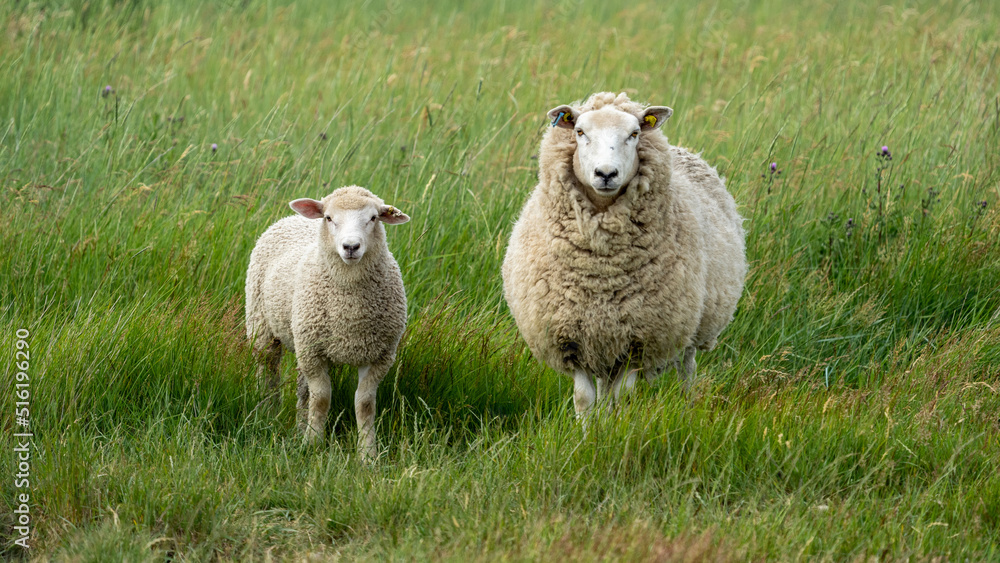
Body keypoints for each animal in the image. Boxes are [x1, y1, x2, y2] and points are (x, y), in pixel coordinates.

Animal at [245, 185, 410, 462]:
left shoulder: (379, 355)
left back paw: (300, 426)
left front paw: (367, 454)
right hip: (262, 326)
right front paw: (313, 445)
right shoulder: (314, 352)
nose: (351, 246)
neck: (350, 310)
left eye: (373, 218)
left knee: (302, 391)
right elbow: (321, 399)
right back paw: (268, 414)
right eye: (329, 218)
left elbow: (364, 404)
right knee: (268, 372)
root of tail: (291, 218)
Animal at [501, 92, 746, 416]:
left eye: (634, 133)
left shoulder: (640, 341)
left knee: (687, 369)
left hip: (692, 325)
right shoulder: (572, 338)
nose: (606, 173)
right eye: (580, 131)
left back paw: (686, 406)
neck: (602, 270)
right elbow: (584, 398)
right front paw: (587, 429)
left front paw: (616, 426)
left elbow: (624, 398)